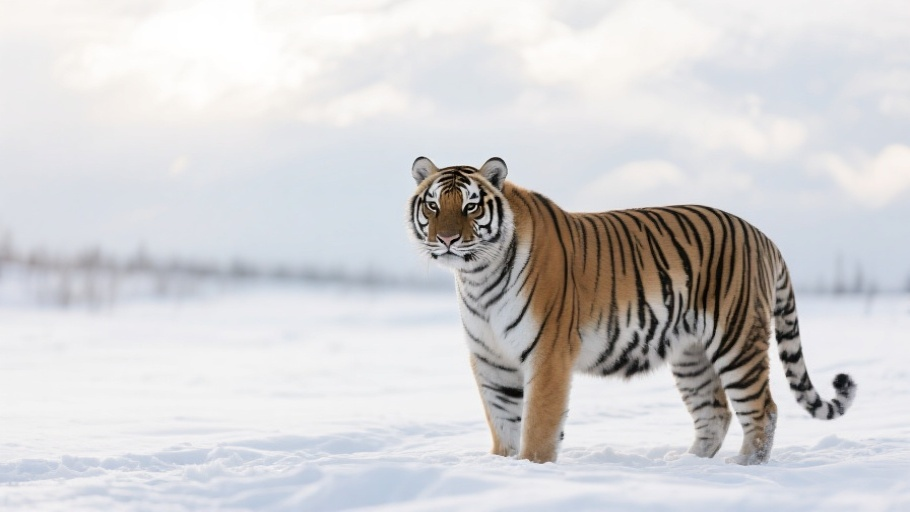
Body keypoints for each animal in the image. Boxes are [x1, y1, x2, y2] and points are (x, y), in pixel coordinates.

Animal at [406, 156, 857, 465]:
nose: (447, 239)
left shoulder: (548, 353)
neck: (477, 278)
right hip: (691, 354)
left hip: (736, 339)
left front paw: (532, 470)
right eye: (433, 206)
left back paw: (744, 467)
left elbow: (537, 426)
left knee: (763, 411)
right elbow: (503, 422)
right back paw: (690, 466)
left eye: (470, 207)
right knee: (715, 413)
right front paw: (502, 468)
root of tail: (763, 235)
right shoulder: (491, 359)